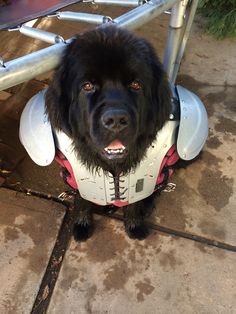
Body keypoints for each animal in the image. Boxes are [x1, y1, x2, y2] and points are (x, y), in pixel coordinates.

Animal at [45, 25, 171, 240]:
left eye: (136, 84)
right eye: (87, 86)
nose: (116, 120)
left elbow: (135, 199)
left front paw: (135, 223)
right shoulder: (75, 179)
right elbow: (82, 200)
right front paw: (82, 224)